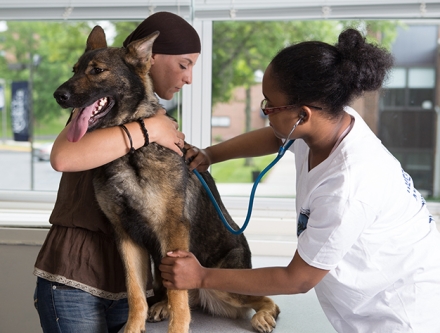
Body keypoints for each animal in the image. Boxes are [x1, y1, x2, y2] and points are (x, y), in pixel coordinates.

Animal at [51, 26, 278, 332]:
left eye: (97, 70)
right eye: (74, 70)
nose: (58, 95)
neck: (131, 152)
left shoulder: (173, 235)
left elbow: (179, 297)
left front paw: (177, 326)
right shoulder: (126, 237)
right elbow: (135, 293)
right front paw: (133, 326)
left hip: (220, 284)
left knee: (264, 298)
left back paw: (263, 314)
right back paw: (161, 305)